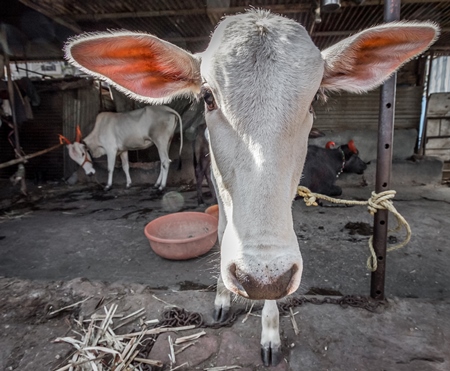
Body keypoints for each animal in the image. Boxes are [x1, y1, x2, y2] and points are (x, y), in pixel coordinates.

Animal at [65, 10, 438, 368]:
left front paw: (270, 334)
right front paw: (221, 299)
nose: (260, 276)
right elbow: (221, 232)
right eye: (207, 96)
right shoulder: (220, 189)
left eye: (315, 98)